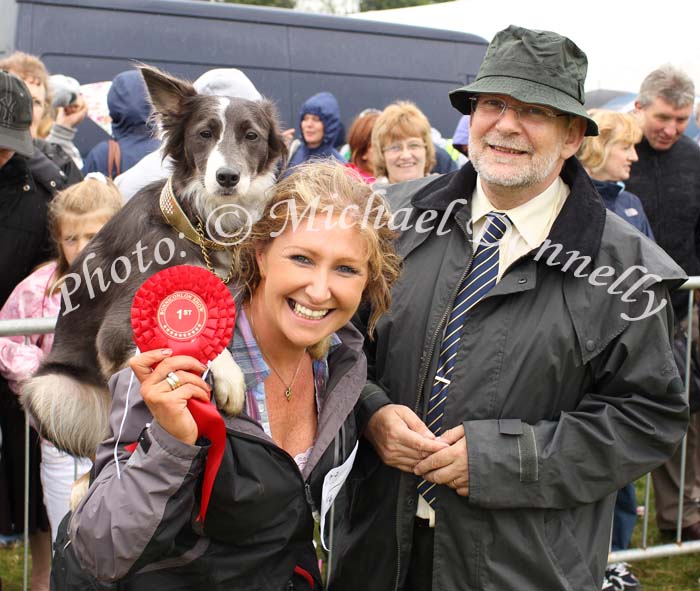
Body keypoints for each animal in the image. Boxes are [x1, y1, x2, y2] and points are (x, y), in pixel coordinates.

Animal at [21, 67, 288, 460]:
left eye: (251, 135)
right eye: (204, 134)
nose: (227, 177)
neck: (197, 223)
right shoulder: (117, 328)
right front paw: (227, 372)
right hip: (52, 388)